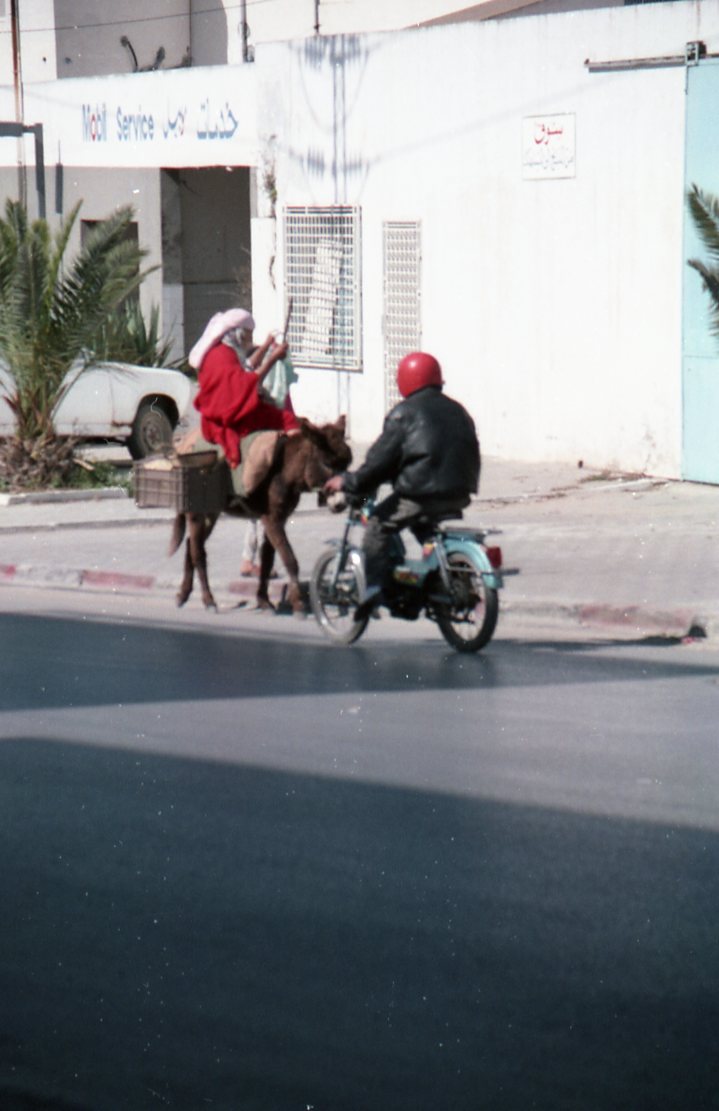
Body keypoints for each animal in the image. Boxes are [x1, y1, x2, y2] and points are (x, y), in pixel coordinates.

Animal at [168, 416, 352, 614]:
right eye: (327, 463)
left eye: (347, 464)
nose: (341, 504)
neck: (285, 472)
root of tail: (184, 445)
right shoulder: (272, 520)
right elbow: (289, 559)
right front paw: (298, 604)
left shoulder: (278, 520)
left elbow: (268, 560)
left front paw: (264, 601)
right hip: (197, 512)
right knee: (198, 552)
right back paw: (208, 601)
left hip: (211, 512)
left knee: (191, 544)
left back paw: (182, 595)